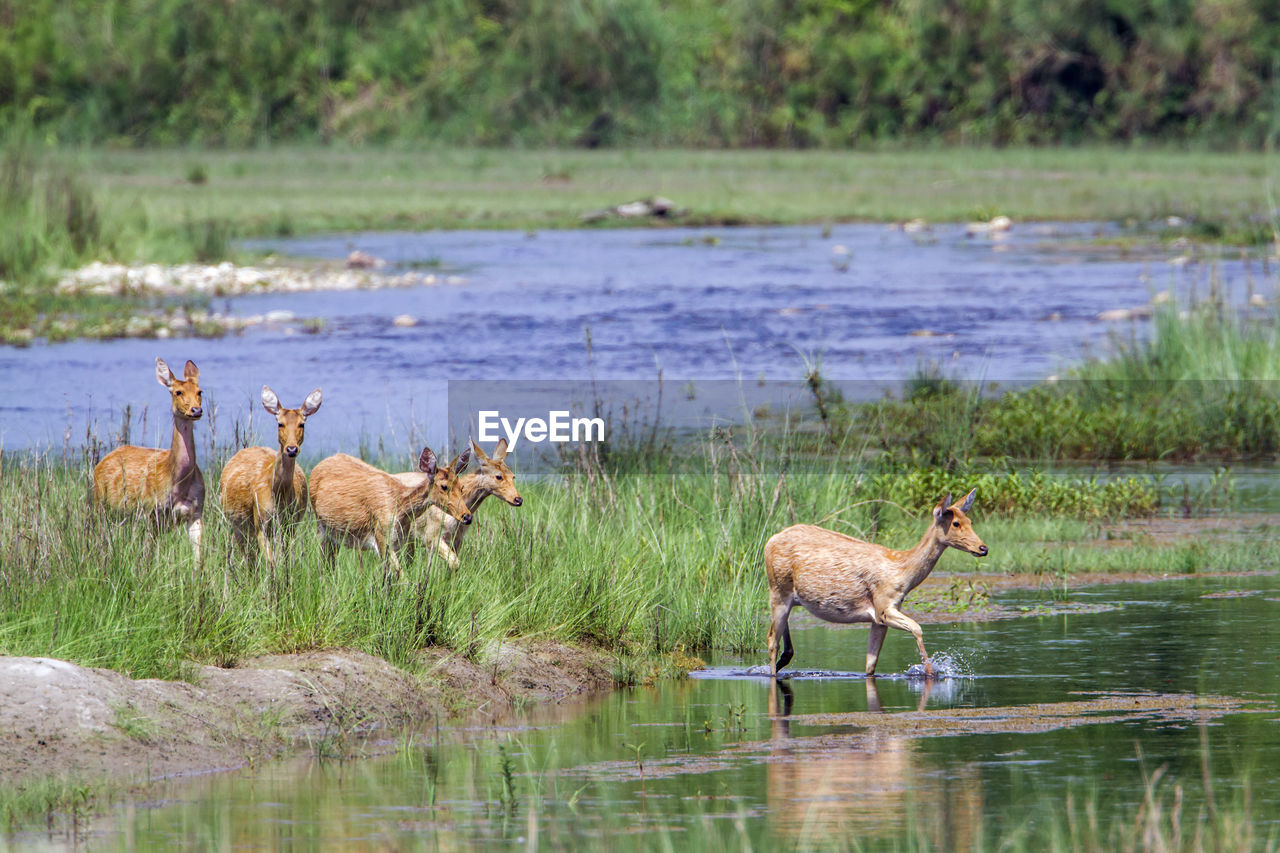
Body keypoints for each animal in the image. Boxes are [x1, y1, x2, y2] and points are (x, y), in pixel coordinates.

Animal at [93, 356, 207, 568]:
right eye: (178, 392)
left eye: (199, 391)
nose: (196, 410)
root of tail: (101, 462)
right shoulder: (151, 512)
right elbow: (148, 555)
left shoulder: (196, 511)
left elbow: (198, 557)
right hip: (100, 504)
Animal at [217, 384, 322, 563]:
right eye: (280, 424)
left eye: (302, 424)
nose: (291, 449)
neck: (279, 495)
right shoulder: (260, 521)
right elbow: (270, 561)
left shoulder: (291, 523)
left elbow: (288, 560)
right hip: (236, 523)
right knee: (247, 554)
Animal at [309, 445, 476, 578]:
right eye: (444, 486)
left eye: (461, 487)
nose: (467, 516)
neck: (399, 509)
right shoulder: (381, 536)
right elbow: (402, 576)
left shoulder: (398, 542)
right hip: (321, 527)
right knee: (323, 564)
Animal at [394, 435, 524, 568]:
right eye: (498, 476)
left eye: (513, 476)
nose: (518, 499)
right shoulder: (430, 535)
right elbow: (454, 562)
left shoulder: (458, 538)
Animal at [757, 489, 988, 676]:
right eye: (955, 523)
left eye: (970, 521)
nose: (983, 548)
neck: (903, 573)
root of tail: (769, 542)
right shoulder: (883, 607)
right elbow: (917, 627)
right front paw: (931, 672)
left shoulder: (879, 619)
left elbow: (870, 665)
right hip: (777, 590)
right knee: (771, 639)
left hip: (789, 598)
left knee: (786, 646)